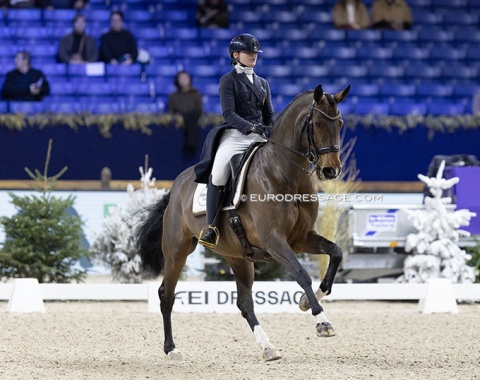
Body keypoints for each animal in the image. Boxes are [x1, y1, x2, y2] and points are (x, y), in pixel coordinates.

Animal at [137, 84, 350, 362]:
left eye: (340, 124)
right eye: (317, 123)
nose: (330, 171)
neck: (285, 174)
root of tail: (177, 186)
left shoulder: (301, 238)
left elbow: (336, 252)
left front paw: (308, 300)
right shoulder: (274, 241)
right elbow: (301, 274)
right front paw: (322, 321)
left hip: (237, 256)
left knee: (244, 303)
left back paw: (268, 348)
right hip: (177, 251)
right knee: (167, 295)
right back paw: (171, 349)